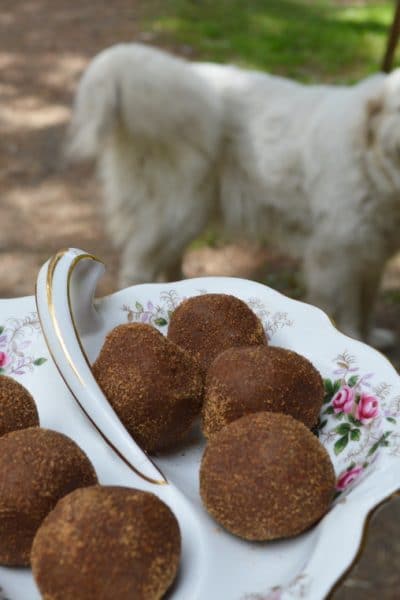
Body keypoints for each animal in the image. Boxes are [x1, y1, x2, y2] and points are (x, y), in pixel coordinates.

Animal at [67, 43, 400, 346]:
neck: (370, 160)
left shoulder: (372, 253)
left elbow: (368, 304)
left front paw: (372, 339)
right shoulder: (338, 257)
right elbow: (348, 315)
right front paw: (356, 341)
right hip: (177, 211)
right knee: (139, 267)